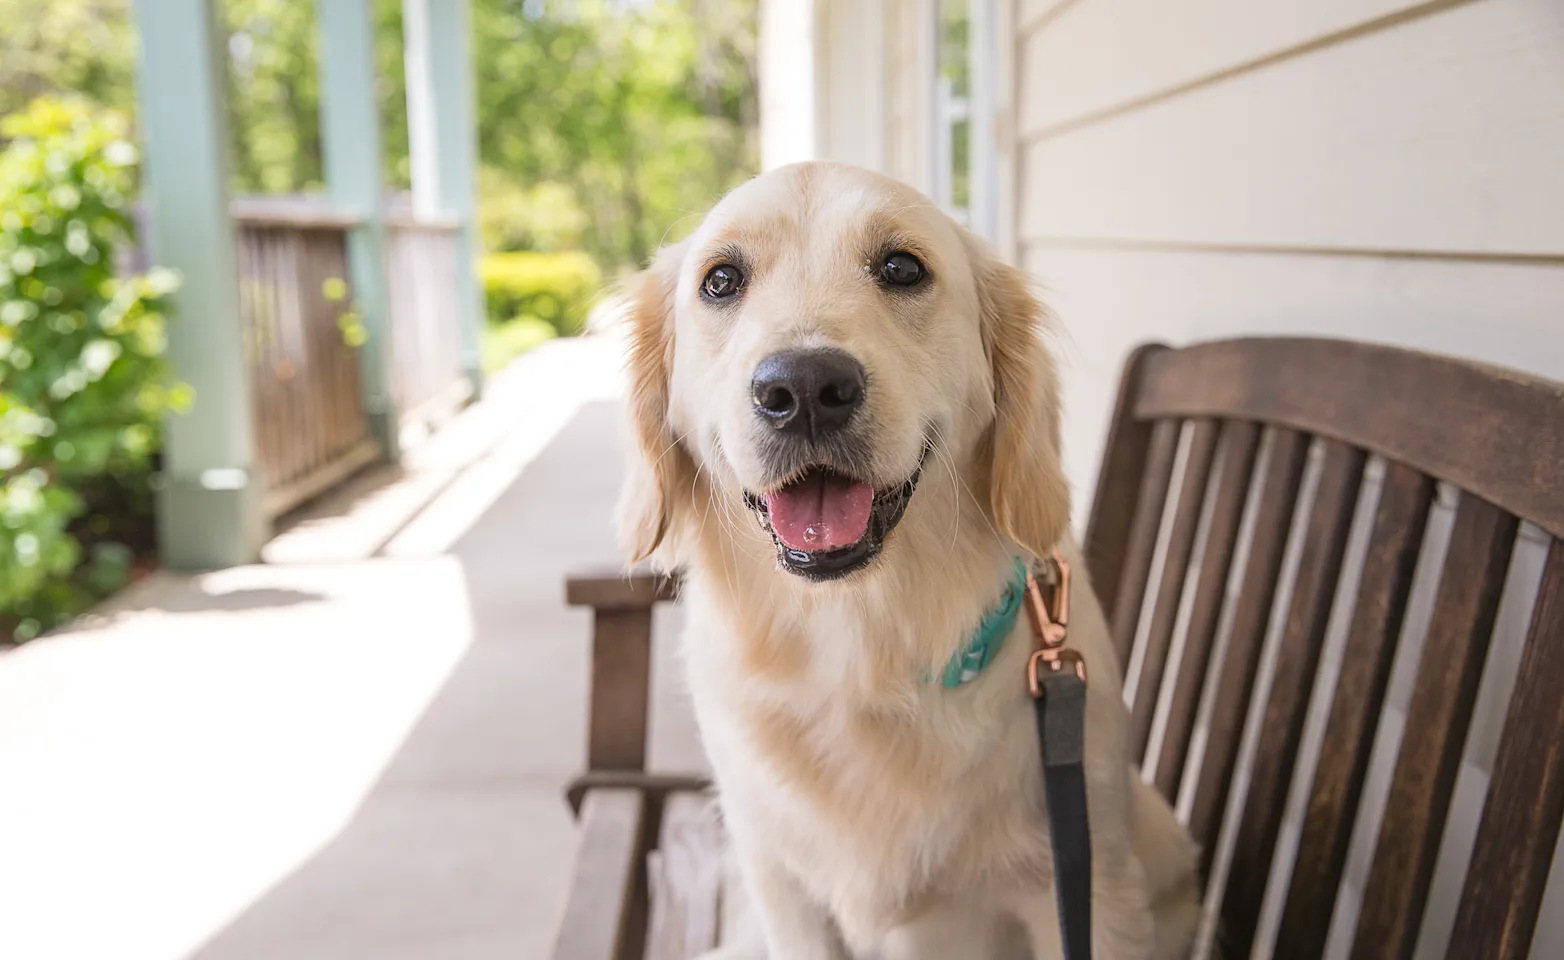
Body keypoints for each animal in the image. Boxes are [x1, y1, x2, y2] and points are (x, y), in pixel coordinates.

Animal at [609, 161, 1194, 956]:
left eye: (901, 268)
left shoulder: (1089, 882)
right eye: (721, 280)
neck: (862, 650)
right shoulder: (779, 886)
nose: (803, 389)